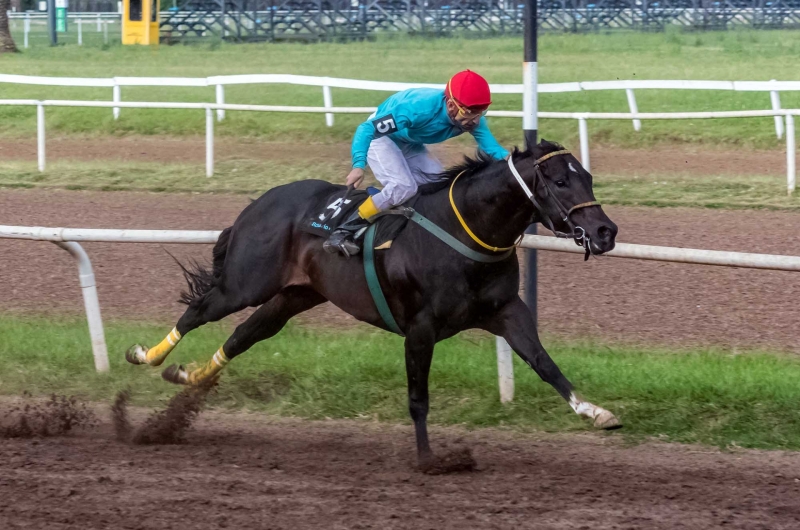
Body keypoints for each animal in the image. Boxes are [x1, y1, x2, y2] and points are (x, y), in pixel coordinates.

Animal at [128, 139, 620, 466]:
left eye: (589, 177)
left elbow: (544, 363)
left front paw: (596, 412)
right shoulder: (420, 328)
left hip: (294, 296)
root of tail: (259, 202)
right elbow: (418, 397)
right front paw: (429, 459)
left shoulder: (505, 311)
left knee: (244, 334)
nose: (605, 231)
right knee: (199, 311)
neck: (464, 233)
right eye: (561, 181)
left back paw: (188, 374)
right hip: (246, 284)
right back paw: (146, 355)